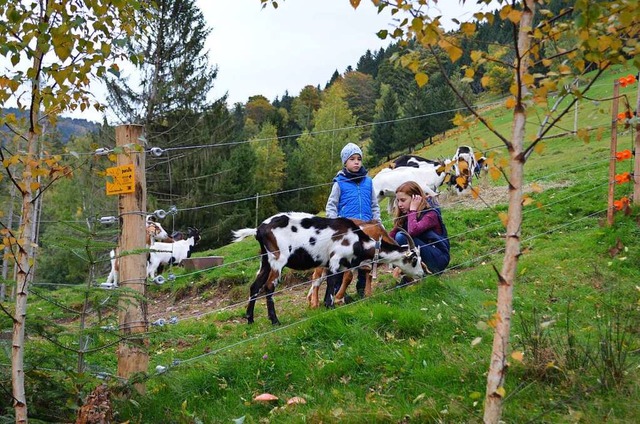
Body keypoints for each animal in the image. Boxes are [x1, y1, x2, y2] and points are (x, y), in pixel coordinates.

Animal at [230, 212, 424, 324]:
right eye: (414, 259)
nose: (422, 274)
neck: (357, 238)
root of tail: (258, 229)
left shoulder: (334, 264)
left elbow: (333, 281)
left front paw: (327, 303)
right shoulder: (335, 258)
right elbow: (331, 282)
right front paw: (330, 305)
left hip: (265, 260)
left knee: (255, 286)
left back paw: (250, 319)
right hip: (278, 258)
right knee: (269, 286)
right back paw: (275, 321)